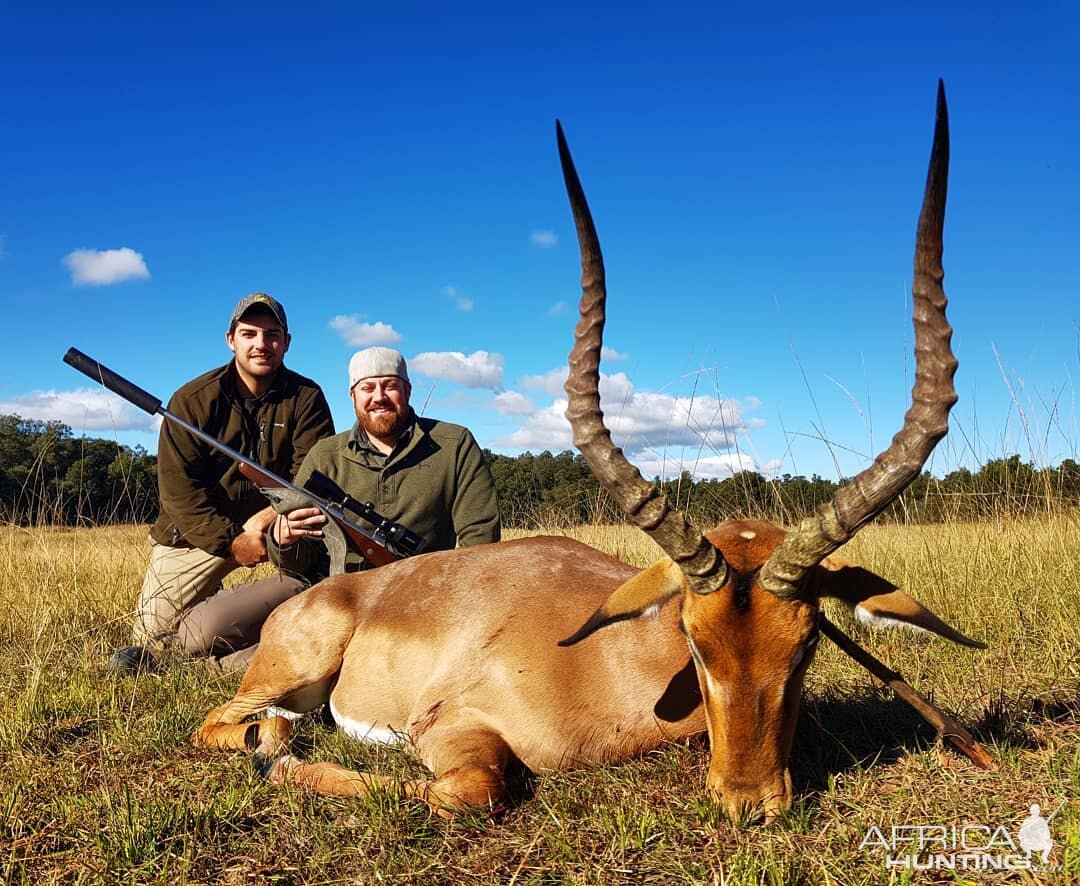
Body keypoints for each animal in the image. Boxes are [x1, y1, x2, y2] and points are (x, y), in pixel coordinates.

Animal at [194, 83, 989, 825]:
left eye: (807, 643)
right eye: (693, 639)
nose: (747, 801)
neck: (609, 660)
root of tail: (327, 594)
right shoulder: (450, 727)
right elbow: (479, 788)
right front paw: (284, 764)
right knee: (225, 725)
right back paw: (273, 742)